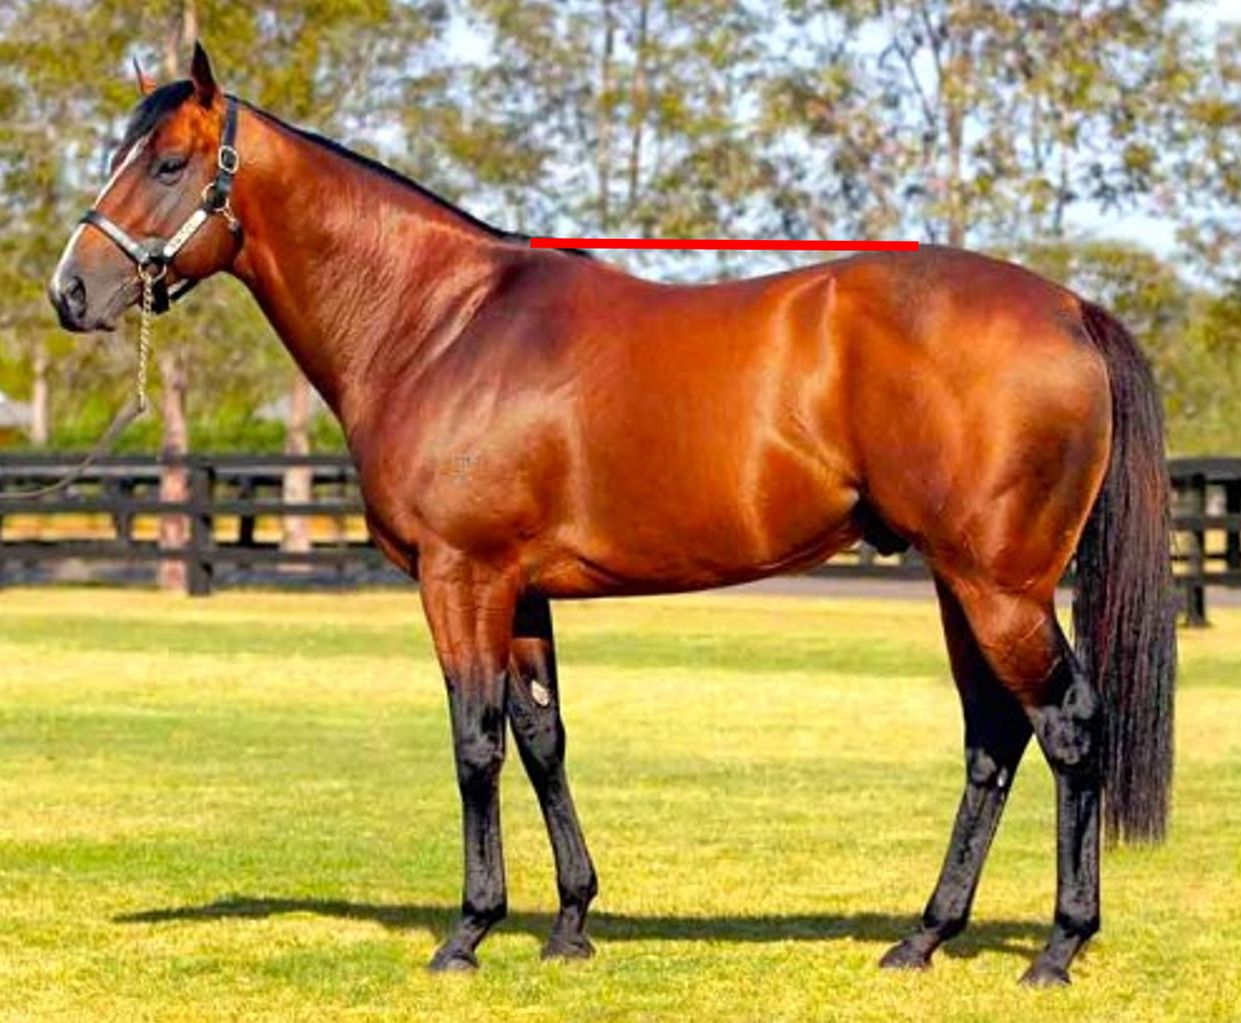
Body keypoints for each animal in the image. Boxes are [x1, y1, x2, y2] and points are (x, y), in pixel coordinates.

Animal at [48, 43, 1176, 986]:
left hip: (998, 588)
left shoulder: (460, 576)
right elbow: (543, 738)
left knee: (1067, 727)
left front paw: (467, 933)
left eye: (167, 164)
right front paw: (569, 924)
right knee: (993, 739)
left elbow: (475, 743)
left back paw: (1057, 948)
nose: (71, 291)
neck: (437, 324)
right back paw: (922, 937)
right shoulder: (519, 592)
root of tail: (1068, 308)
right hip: (959, 583)